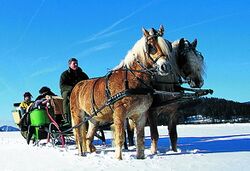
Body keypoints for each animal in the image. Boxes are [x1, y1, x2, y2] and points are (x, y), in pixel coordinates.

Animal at [69, 25, 173, 159]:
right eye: (151, 46)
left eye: (167, 45)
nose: (165, 67)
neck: (133, 79)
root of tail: (77, 86)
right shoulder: (119, 112)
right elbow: (120, 137)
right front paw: (118, 158)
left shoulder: (141, 114)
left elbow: (140, 138)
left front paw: (140, 157)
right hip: (78, 115)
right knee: (78, 135)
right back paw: (81, 153)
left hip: (94, 119)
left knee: (88, 137)